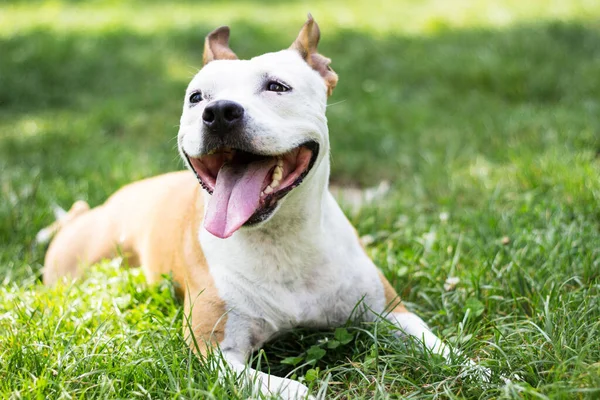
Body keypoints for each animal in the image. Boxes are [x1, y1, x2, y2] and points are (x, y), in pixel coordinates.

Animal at [39, 14, 486, 396]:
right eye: (196, 97)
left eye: (277, 87)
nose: (219, 112)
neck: (281, 239)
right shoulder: (213, 351)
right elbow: (288, 388)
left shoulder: (391, 311)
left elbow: (441, 347)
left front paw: (477, 370)